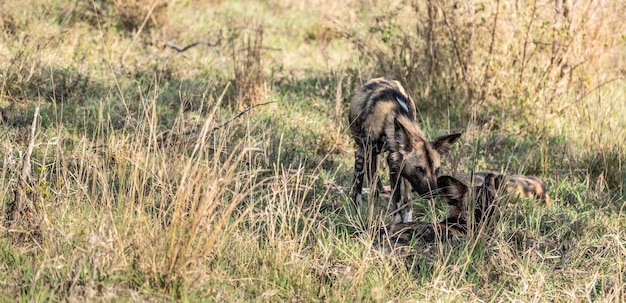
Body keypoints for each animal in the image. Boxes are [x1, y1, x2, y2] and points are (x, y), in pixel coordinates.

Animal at [346, 77, 458, 224]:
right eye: (419, 169)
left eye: (437, 170)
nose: (434, 193)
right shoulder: (363, 154)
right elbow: (357, 194)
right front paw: (356, 218)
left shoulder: (396, 163)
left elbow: (403, 201)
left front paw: (403, 223)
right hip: (368, 155)